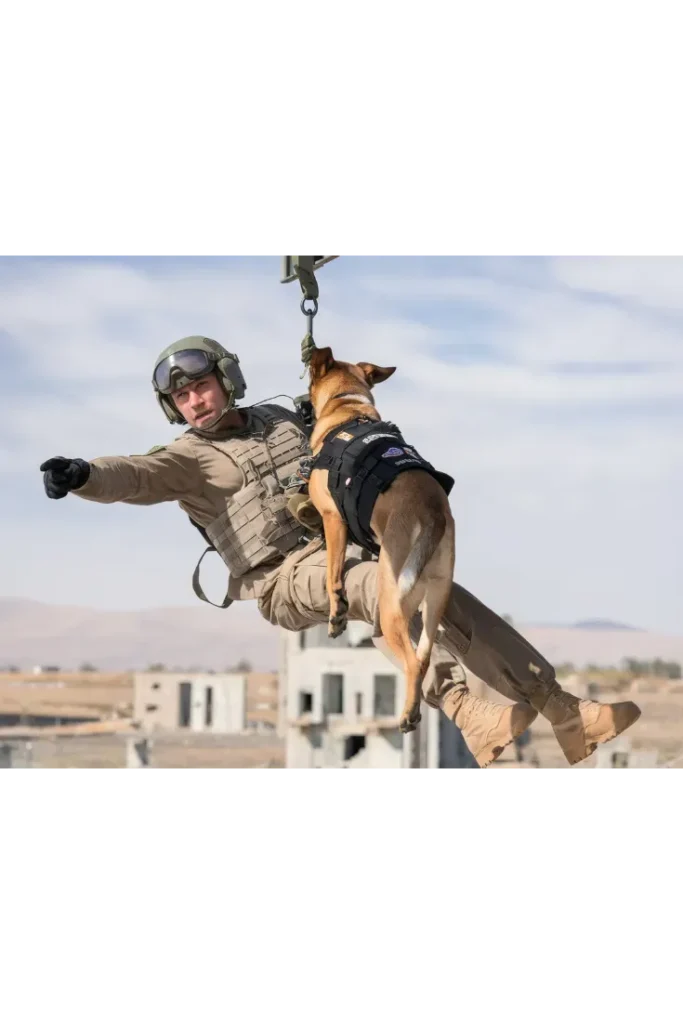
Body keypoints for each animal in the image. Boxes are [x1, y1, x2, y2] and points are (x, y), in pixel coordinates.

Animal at [305, 348, 454, 733]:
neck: (348, 408)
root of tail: (433, 512)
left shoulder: (333, 519)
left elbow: (334, 573)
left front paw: (336, 615)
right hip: (436, 599)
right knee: (424, 655)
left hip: (390, 607)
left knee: (413, 662)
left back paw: (407, 715)